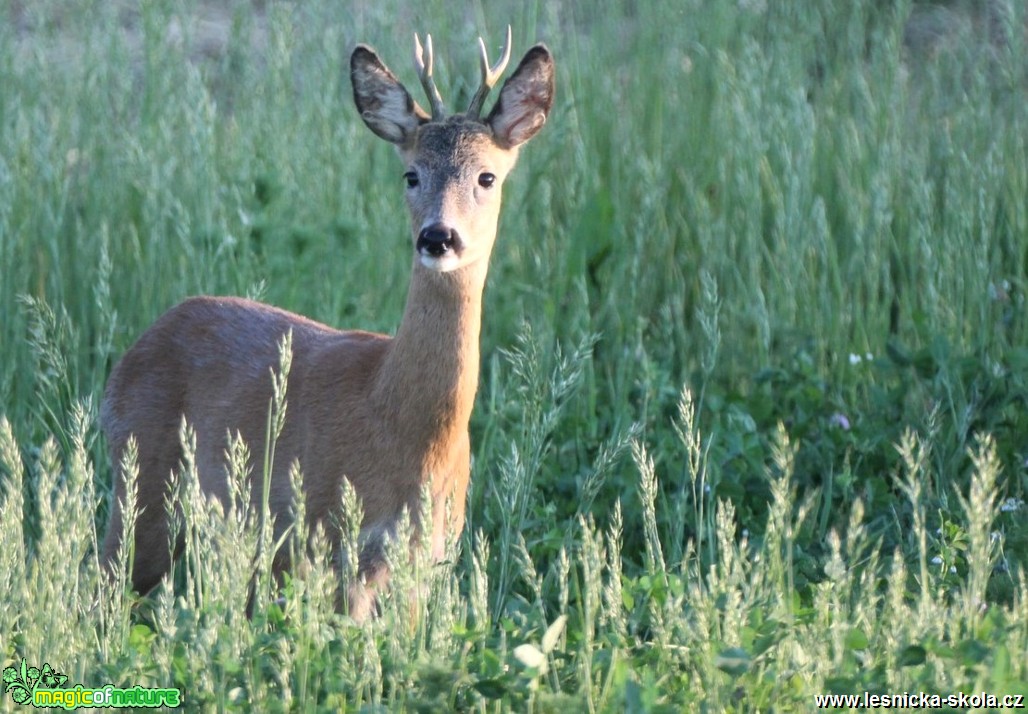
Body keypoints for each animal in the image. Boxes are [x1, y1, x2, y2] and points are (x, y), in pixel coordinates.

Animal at [101, 26, 555, 620]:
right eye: (411, 173)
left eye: (487, 176)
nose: (438, 237)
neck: (400, 423)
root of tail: (128, 359)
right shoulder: (336, 544)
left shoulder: (425, 560)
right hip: (145, 485)